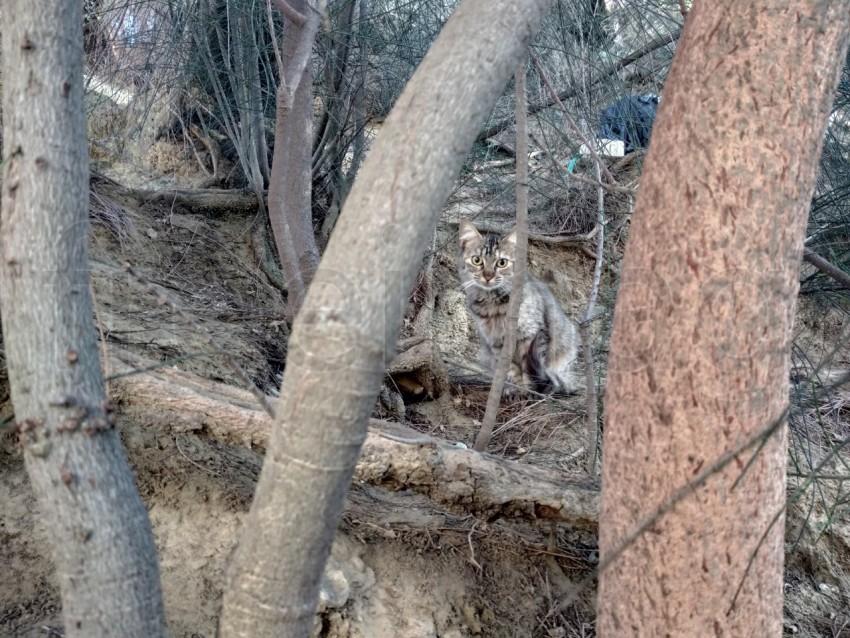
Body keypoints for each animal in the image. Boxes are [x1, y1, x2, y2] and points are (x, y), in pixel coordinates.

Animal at [458, 222, 576, 398]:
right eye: (477, 260)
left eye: (502, 263)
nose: (488, 276)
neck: (495, 305)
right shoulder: (497, 342)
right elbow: (512, 370)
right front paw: (516, 390)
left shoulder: (532, 334)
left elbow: (528, 368)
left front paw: (530, 391)